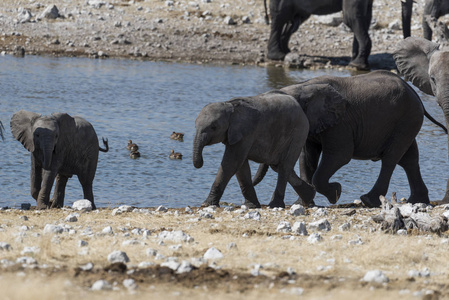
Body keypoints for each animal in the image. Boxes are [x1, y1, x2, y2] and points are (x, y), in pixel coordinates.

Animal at [256, 70, 444, 207]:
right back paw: (417, 201)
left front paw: (336, 193)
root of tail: (414, 92)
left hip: (406, 119)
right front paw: (303, 203)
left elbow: (340, 155)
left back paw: (368, 201)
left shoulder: (340, 124)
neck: (303, 87)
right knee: (409, 159)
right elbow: (307, 159)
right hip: (407, 121)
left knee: (391, 158)